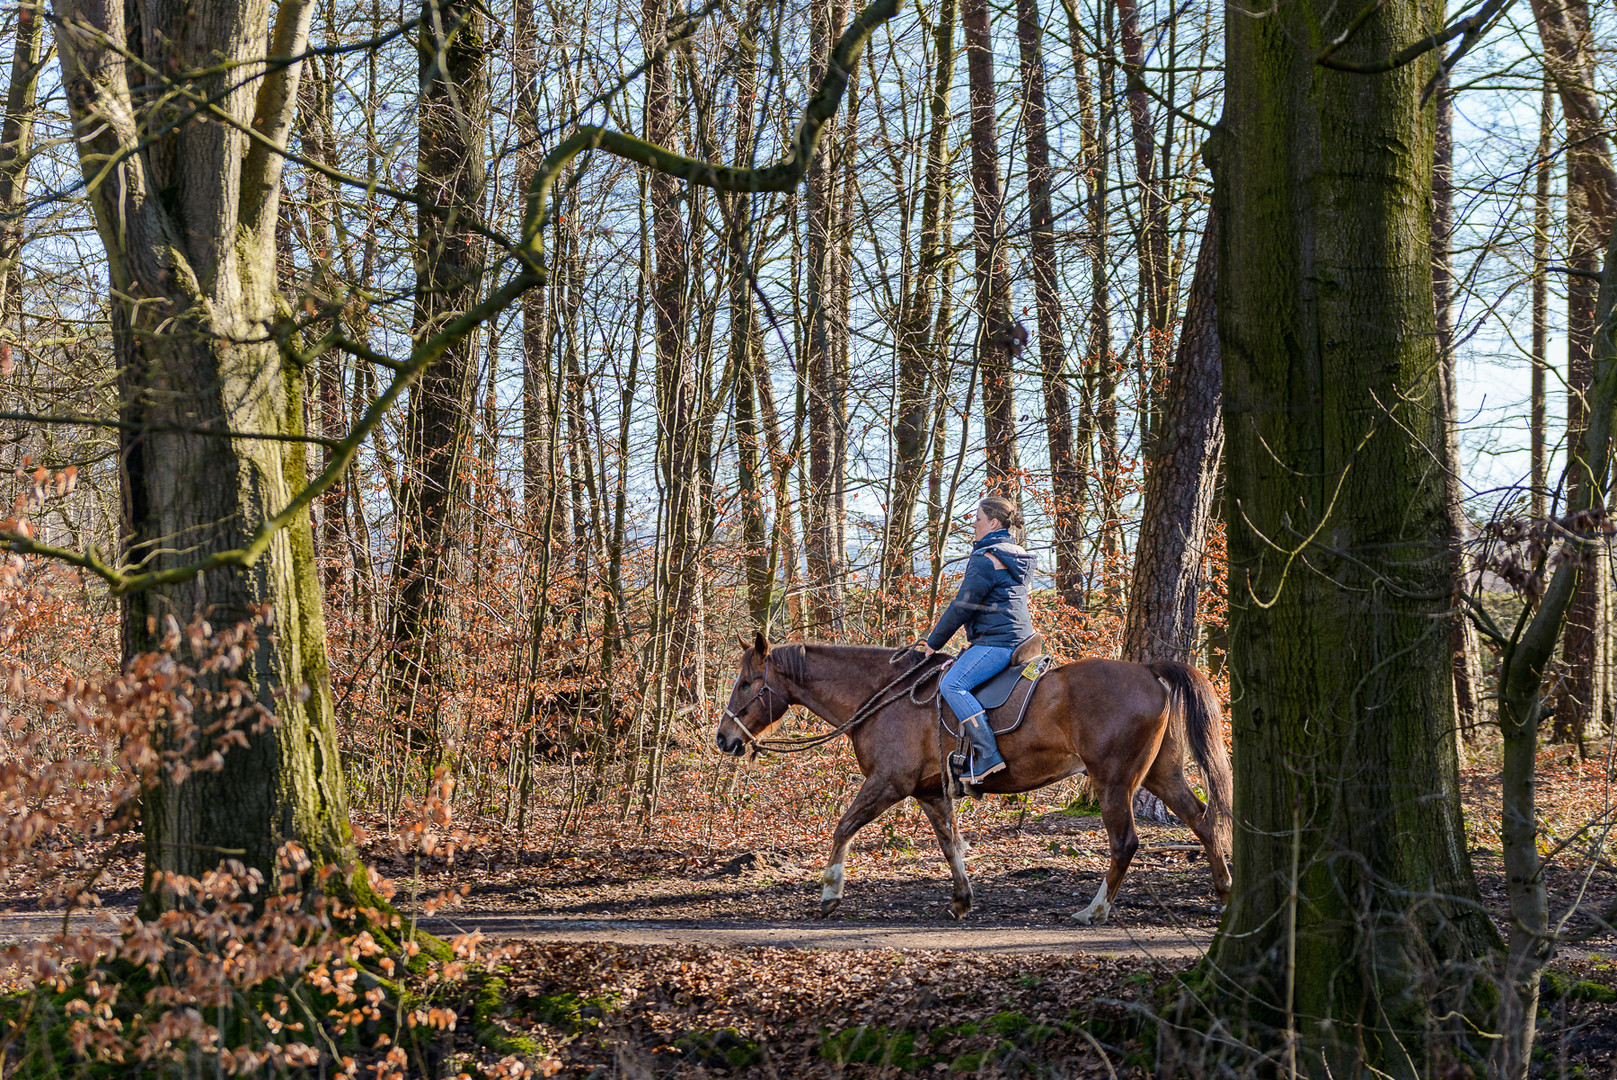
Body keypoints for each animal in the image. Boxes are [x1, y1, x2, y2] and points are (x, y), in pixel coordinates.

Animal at [714, 633, 1228, 931]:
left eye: (745, 683)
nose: (723, 739)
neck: (879, 696)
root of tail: (1149, 671)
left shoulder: (887, 783)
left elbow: (843, 827)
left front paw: (829, 892)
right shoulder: (928, 793)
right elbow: (951, 845)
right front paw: (962, 900)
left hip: (1114, 781)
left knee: (1125, 843)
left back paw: (1094, 911)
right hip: (1162, 774)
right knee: (1203, 820)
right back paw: (1223, 893)